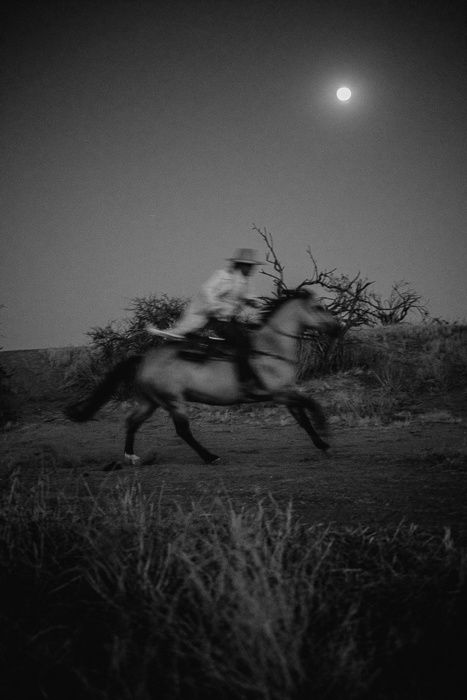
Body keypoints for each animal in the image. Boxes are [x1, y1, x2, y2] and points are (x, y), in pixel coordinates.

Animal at [65, 290, 340, 464]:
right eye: (318, 307)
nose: (337, 328)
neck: (272, 347)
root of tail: (144, 358)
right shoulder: (279, 393)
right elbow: (311, 404)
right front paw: (326, 432)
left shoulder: (285, 393)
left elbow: (303, 418)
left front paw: (322, 445)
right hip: (174, 401)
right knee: (183, 431)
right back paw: (210, 457)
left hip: (150, 401)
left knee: (132, 422)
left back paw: (131, 457)